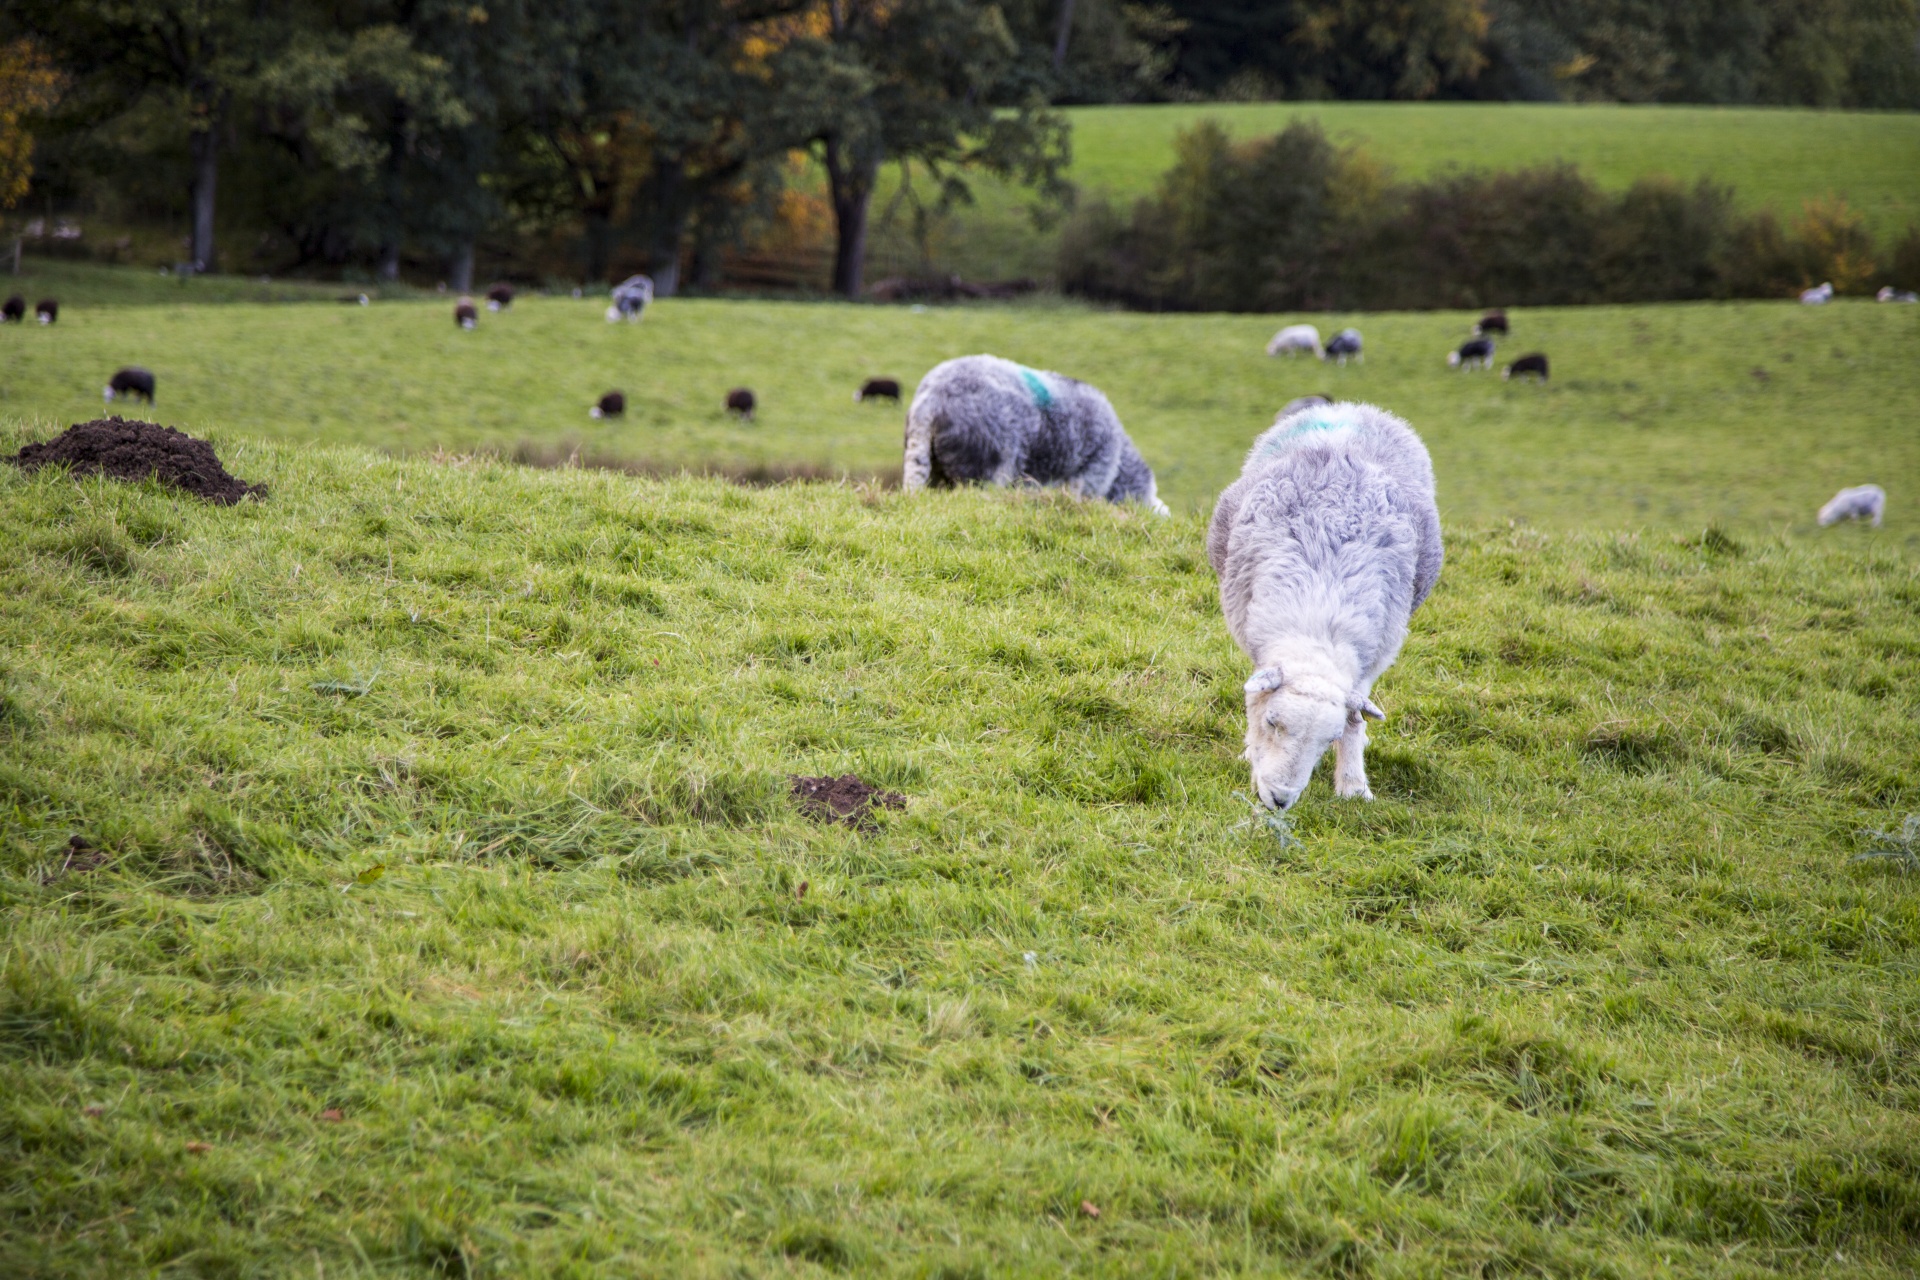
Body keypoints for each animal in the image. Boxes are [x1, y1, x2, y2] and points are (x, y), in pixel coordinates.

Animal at [1198, 402, 1443, 809]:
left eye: (1328, 740)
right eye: (1273, 723)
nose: (1279, 800)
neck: (1320, 613)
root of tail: (1350, 407)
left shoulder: (1376, 655)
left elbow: (1355, 719)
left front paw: (1354, 786)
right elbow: (1253, 698)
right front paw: (1251, 752)